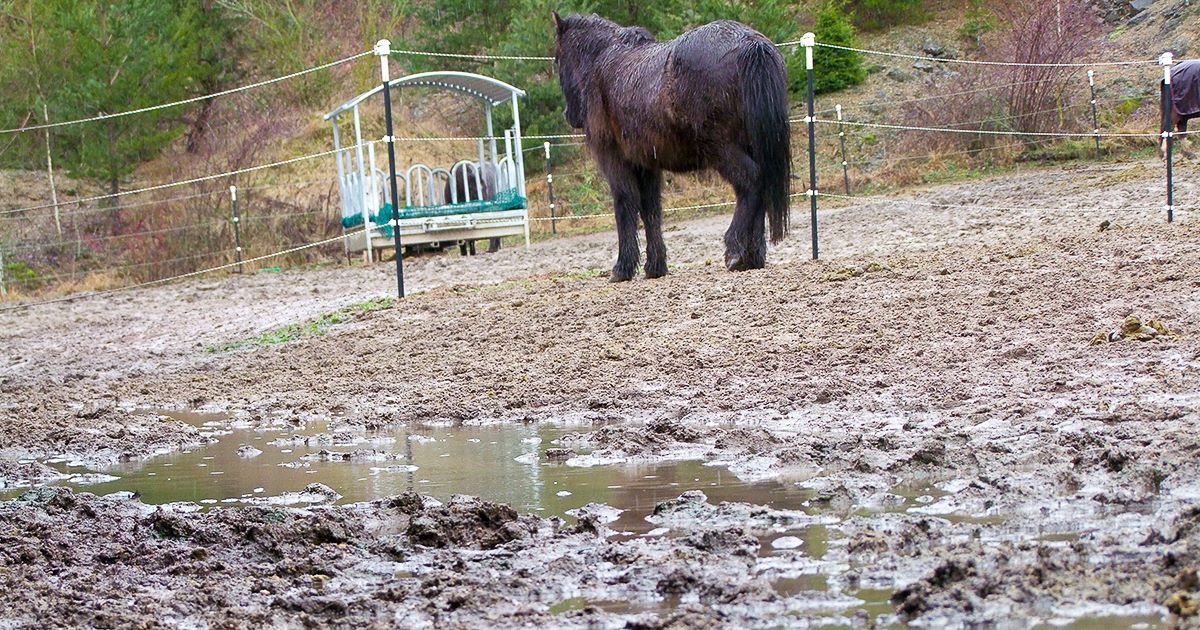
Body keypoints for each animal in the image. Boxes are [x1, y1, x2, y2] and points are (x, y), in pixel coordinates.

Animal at [553, 12, 791, 281]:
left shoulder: (614, 159)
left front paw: (623, 267)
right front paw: (655, 266)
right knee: (760, 188)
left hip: (722, 149)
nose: (569, 115)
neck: (604, 61)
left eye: (557, 59)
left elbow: (625, 205)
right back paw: (753, 256)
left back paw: (735, 251)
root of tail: (751, 44)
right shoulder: (646, 164)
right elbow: (650, 210)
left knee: (751, 182)